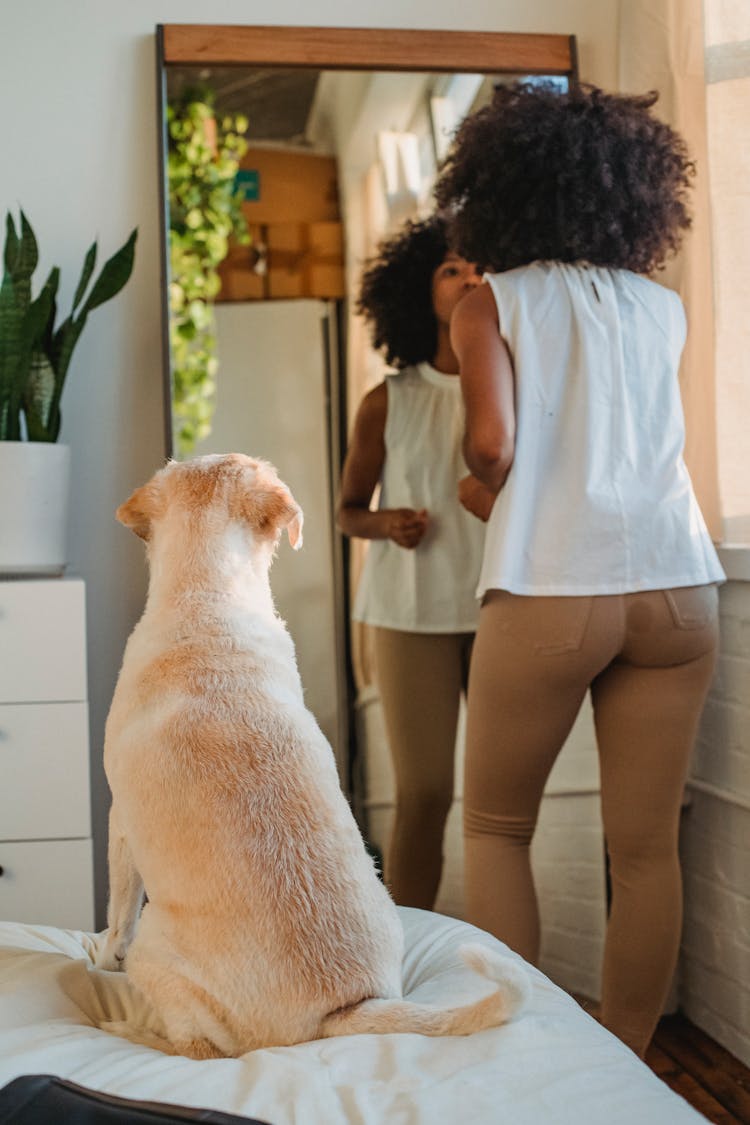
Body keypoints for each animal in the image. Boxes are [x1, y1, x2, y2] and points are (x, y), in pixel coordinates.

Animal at [95, 454, 528, 1053]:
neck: (208, 599)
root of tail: (345, 1009)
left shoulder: (119, 820)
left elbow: (118, 909)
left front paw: (102, 956)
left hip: (155, 953)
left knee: (199, 1048)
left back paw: (129, 1030)